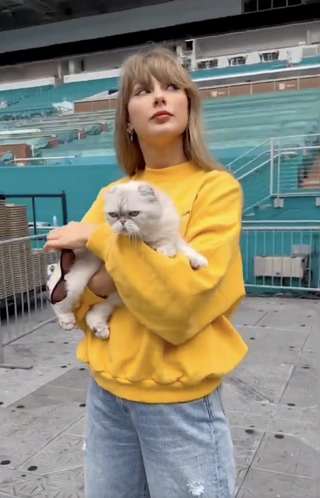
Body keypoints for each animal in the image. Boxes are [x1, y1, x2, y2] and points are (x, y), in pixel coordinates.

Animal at [47, 181, 208, 340]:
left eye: (133, 213)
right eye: (114, 215)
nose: (122, 222)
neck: (151, 229)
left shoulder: (171, 236)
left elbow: (182, 247)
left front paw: (198, 261)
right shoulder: (145, 241)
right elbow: (166, 245)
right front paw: (167, 250)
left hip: (113, 299)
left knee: (93, 314)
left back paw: (100, 330)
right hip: (75, 283)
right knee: (57, 302)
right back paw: (67, 321)